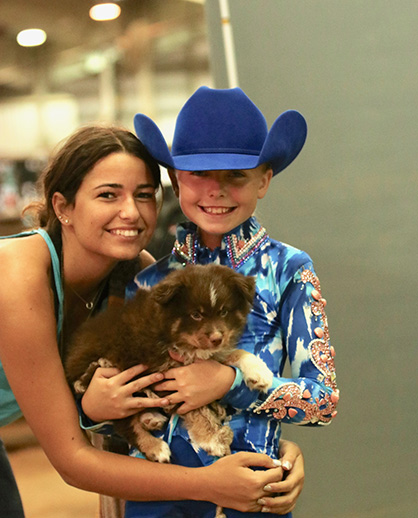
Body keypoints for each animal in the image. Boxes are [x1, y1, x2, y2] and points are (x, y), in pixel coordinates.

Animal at [65, 266, 272, 466]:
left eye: (223, 312)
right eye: (196, 315)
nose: (216, 338)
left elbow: (233, 353)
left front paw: (259, 371)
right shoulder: (165, 372)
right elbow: (196, 409)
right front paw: (214, 439)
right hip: (114, 392)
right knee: (124, 422)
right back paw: (154, 445)